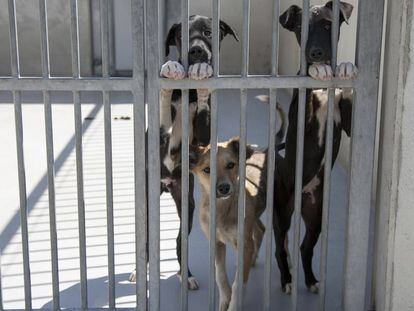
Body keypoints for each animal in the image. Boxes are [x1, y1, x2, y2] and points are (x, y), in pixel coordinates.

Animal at [129, 14, 239, 292]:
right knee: (146, 241)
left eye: (209, 33)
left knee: (180, 242)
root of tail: (167, 183)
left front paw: (202, 76)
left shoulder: (204, 133)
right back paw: (138, 271)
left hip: (186, 203)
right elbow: (164, 100)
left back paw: (186, 274)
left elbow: (204, 104)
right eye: (181, 36)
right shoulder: (161, 130)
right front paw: (171, 70)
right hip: (148, 202)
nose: (197, 51)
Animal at [272, 1, 360, 294]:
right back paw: (287, 280)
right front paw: (315, 70)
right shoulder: (303, 119)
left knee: (304, 247)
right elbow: (307, 88)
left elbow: (348, 94)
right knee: (280, 247)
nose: (316, 54)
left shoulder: (348, 123)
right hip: (282, 212)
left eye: (327, 25)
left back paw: (310, 280)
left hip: (316, 218)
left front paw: (345, 67)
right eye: (300, 28)